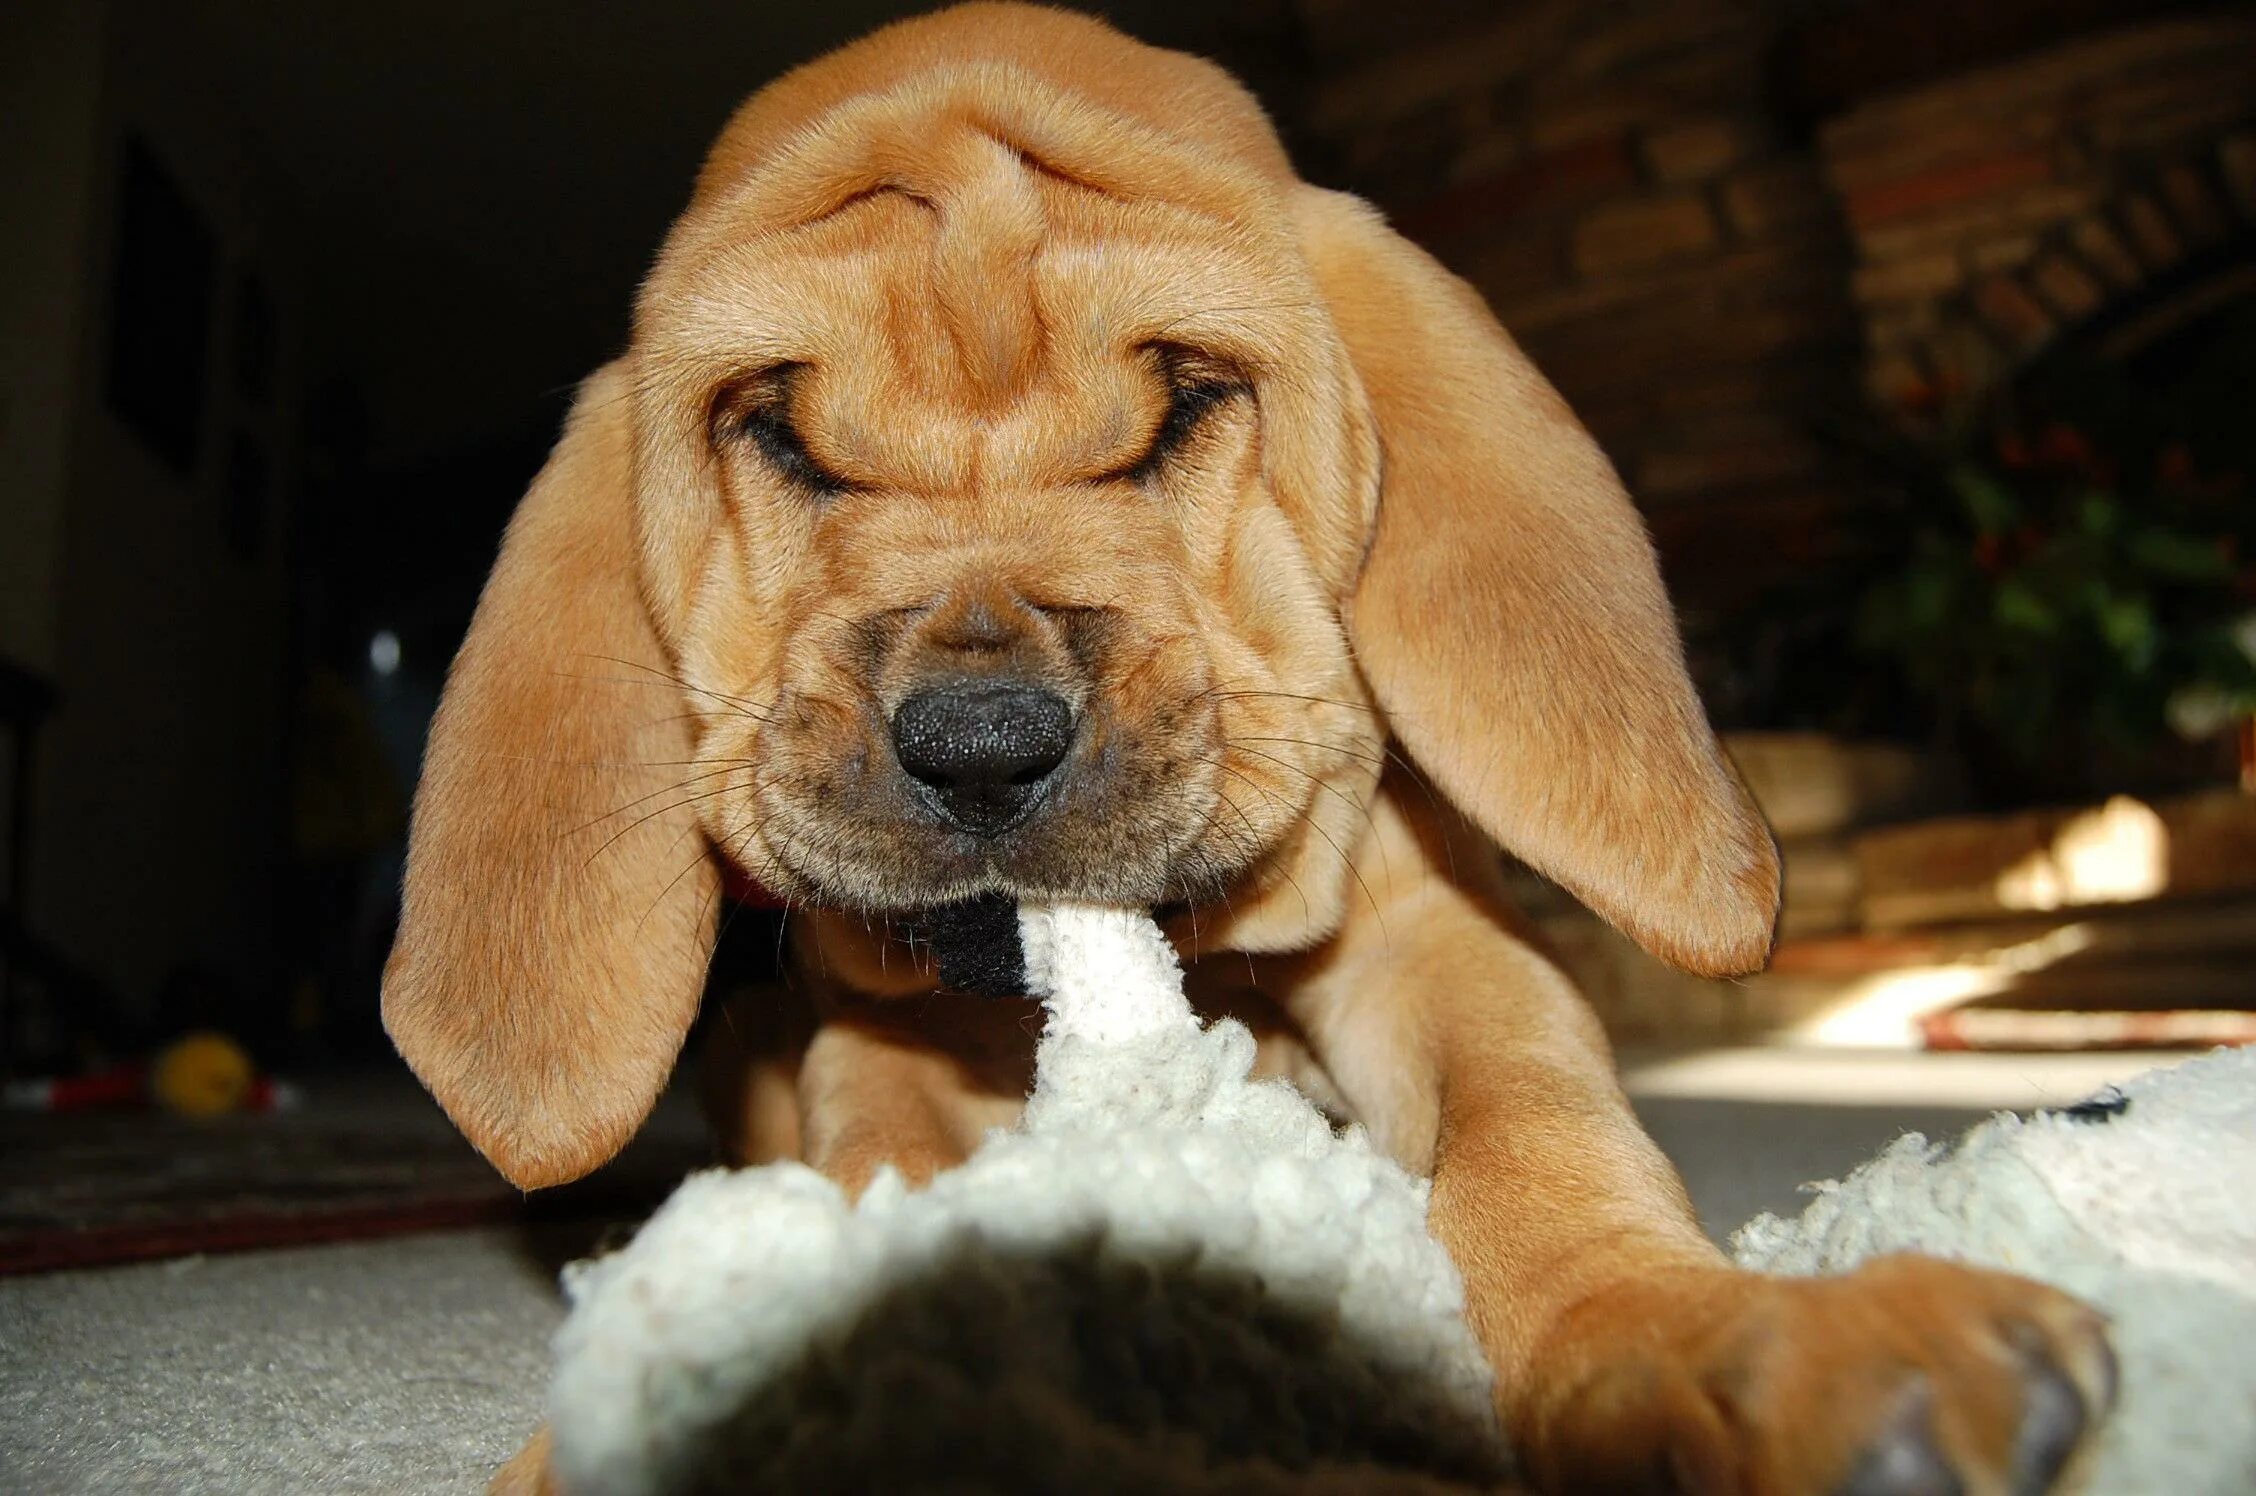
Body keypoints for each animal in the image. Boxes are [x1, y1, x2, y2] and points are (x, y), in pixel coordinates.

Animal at [388, 5, 2111, 1489]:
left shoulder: (1438, 948)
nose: (981, 746)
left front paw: (1724, 1346)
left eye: (1183, 407)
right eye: (785, 437)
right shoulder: (875, 1041)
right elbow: (885, 1167)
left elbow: (1541, 1143)